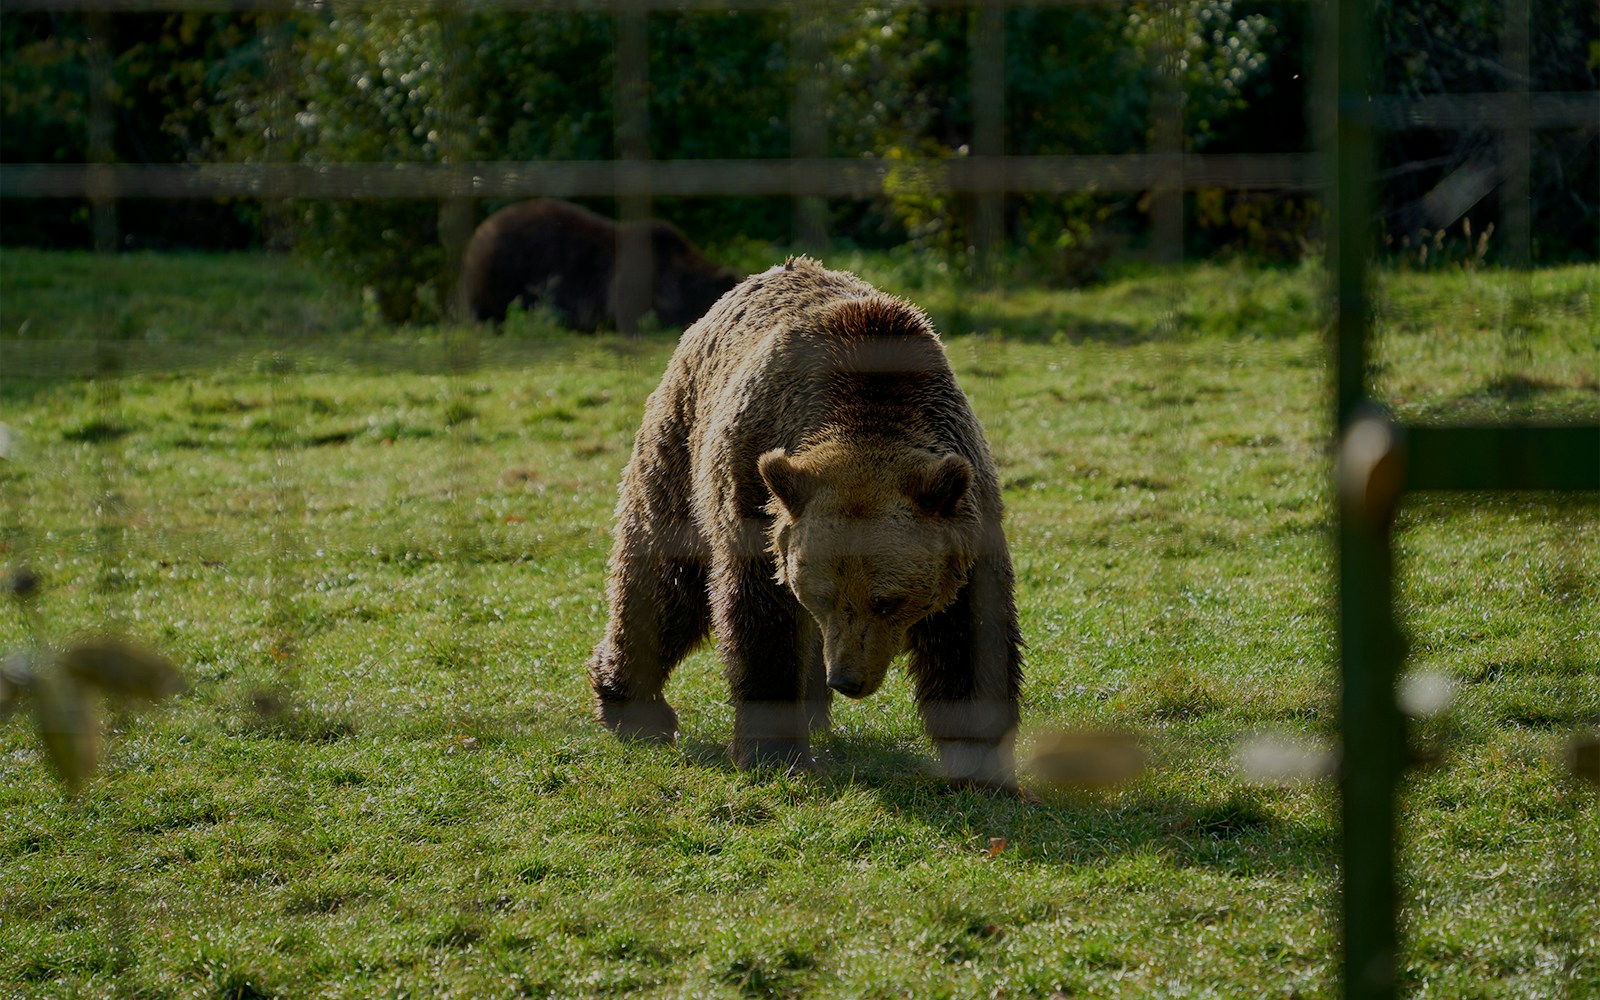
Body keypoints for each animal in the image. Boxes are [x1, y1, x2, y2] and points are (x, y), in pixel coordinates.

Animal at [586, 256, 1022, 791]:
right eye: (821, 595)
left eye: (887, 601)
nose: (848, 678)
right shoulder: (754, 493)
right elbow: (759, 619)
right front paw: (773, 751)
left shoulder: (966, 520)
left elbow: (971, 638)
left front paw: (983, 766)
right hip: (681, 447)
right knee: (663, 584)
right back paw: (637, 709)